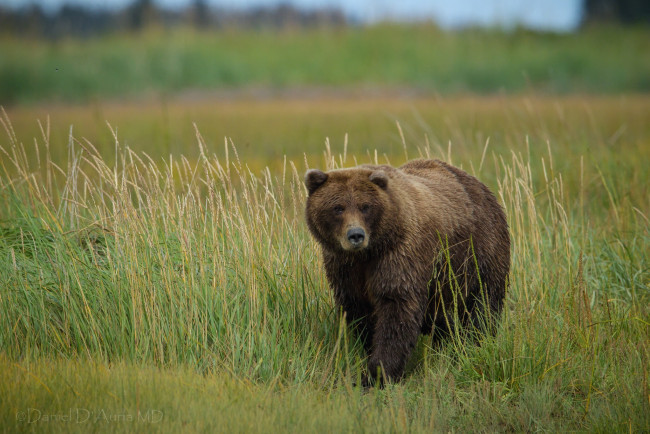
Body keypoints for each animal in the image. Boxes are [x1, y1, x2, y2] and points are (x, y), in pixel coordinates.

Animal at [304, 159, 512, 386]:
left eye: (365, 206)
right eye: (338, 208)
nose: (356, 235)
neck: (369, 252)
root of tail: (484, 188)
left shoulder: (400, 255)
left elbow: (397, 308)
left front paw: (378, 374)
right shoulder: (345, 268)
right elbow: (359, 311)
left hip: (479, 253)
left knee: (483, 304)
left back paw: (474, 344)